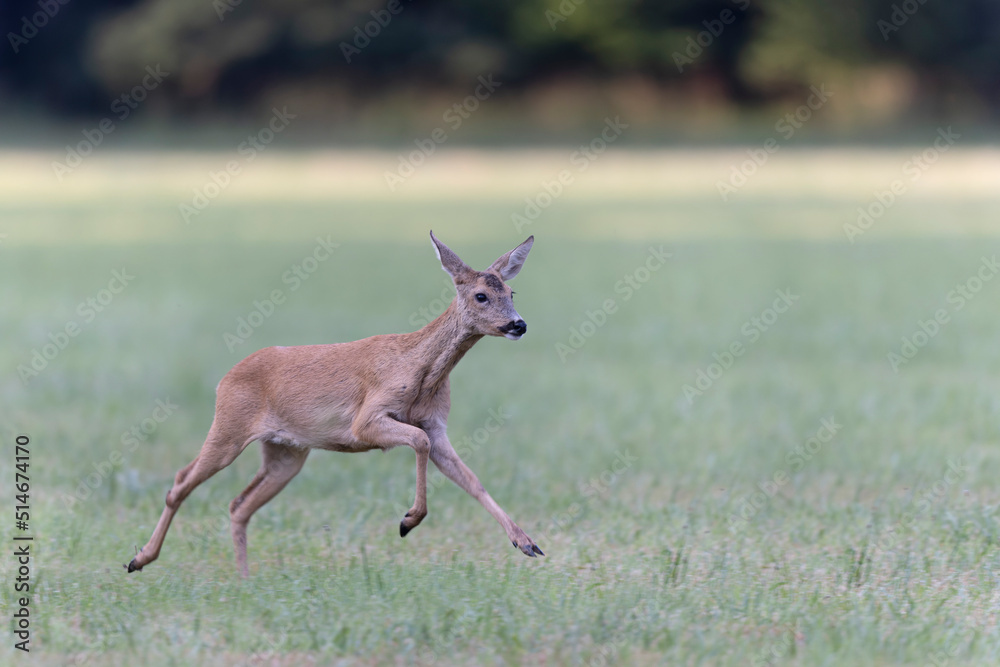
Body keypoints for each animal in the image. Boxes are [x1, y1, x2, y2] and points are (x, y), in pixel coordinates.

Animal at [126, 232, 543, 577]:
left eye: (512, 293)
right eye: (481, 295)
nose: (519, 325)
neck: (420, 371)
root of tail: (223, 380)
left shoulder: (436, 425)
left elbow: (471, 479)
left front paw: (526, 543)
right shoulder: (368, 419)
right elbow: (418, 443)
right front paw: (408, 521)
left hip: (286, 452)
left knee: (238, 504)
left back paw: (244, 578)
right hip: (228, 427)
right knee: (180, 482)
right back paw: (139, 559)